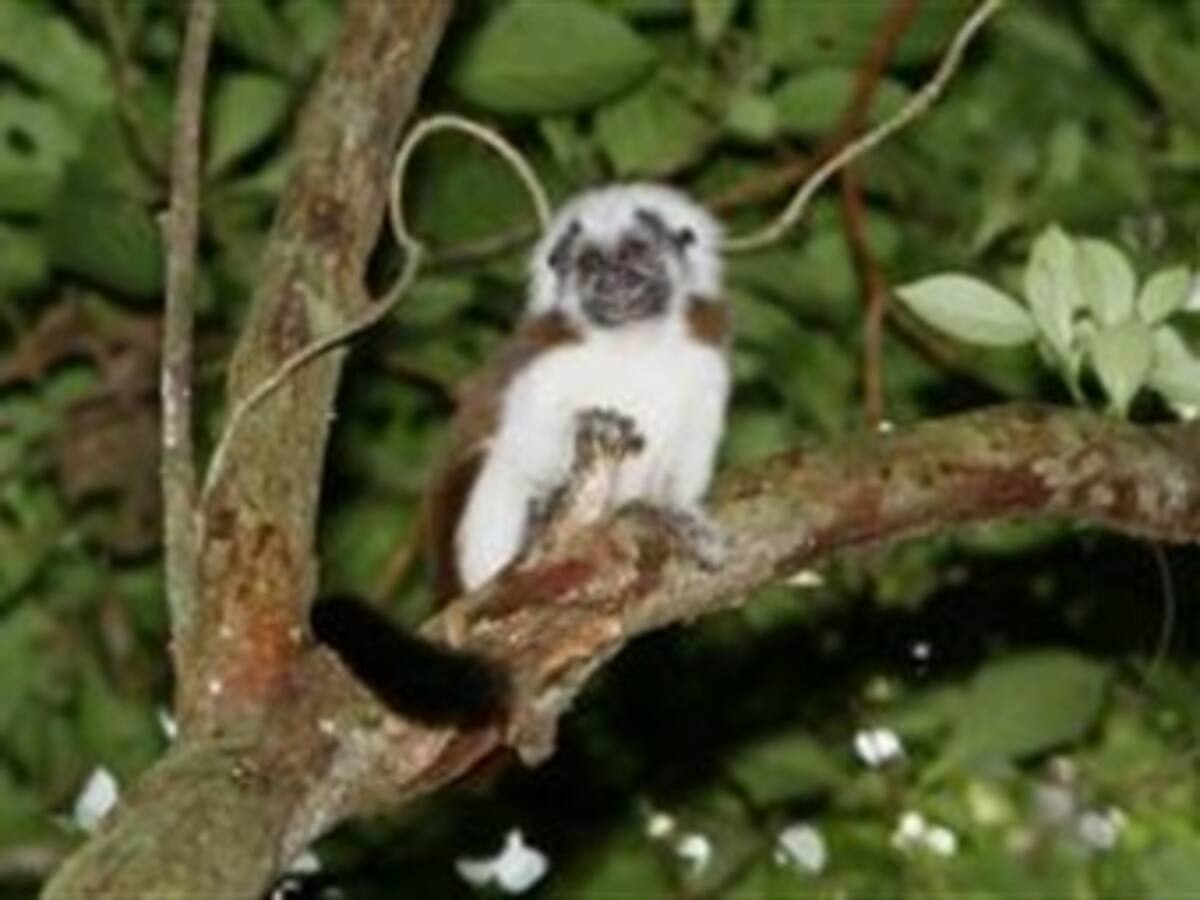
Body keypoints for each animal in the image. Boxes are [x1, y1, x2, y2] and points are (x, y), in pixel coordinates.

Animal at [313, 183, 731, 726]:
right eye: (591, 263)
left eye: (635, 254)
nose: (612, 282)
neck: (632, 344)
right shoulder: (547, 365)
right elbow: (521, 444)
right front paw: (550, 505)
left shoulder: (705, 363)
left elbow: (686, 467)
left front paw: (677, 516)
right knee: (499, 464)